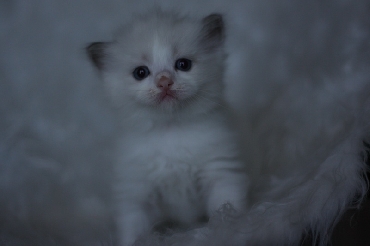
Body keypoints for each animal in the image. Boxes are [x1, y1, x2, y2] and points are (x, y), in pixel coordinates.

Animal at [86, 11, 249, 246]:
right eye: (141, 72)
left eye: (183, 64)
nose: (164, 81)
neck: (171, 130)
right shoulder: (135, 191)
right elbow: (133, 231)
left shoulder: (221, 173)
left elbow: (226, 211)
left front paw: (227, 233)